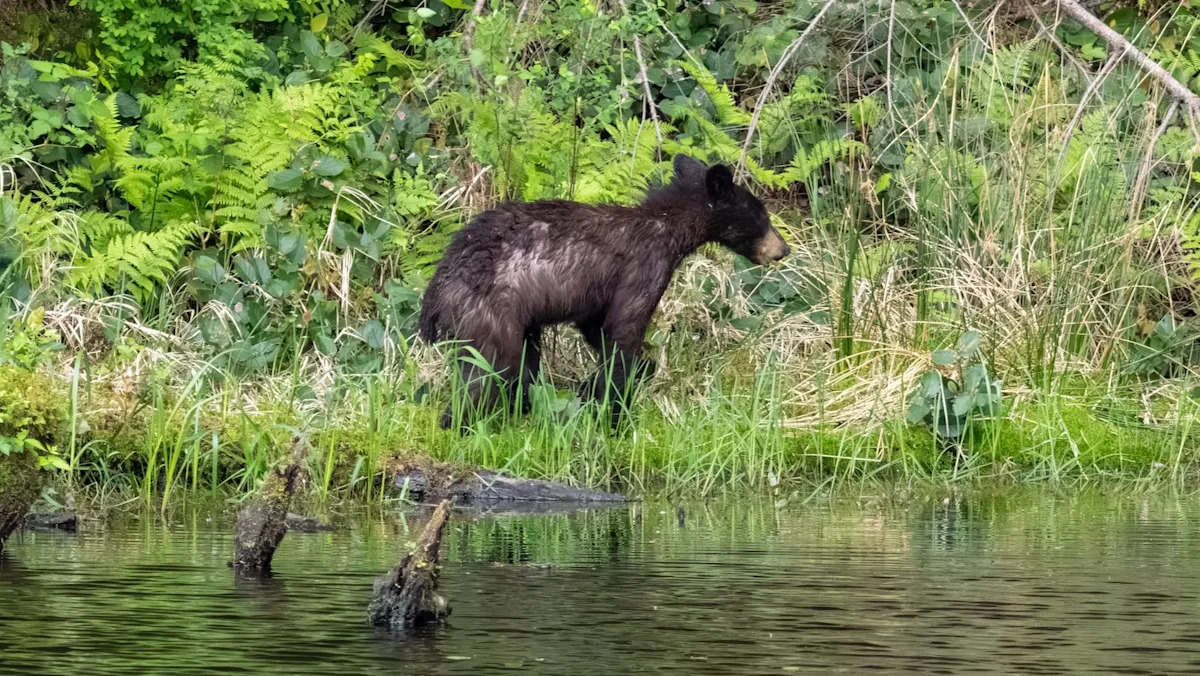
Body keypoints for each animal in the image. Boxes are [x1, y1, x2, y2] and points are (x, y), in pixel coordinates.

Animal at [418, 153, 789, 432]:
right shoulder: (644, 269)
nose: (782, 249)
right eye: (762, 216)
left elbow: (597, 329)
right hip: (490, 315)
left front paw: (612, 384)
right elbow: (623, 333)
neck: (668, 228)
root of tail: (435, 293)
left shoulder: (595, 302)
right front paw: (616, 413)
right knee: (489, 372)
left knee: (522, 364)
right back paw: (462, 423)